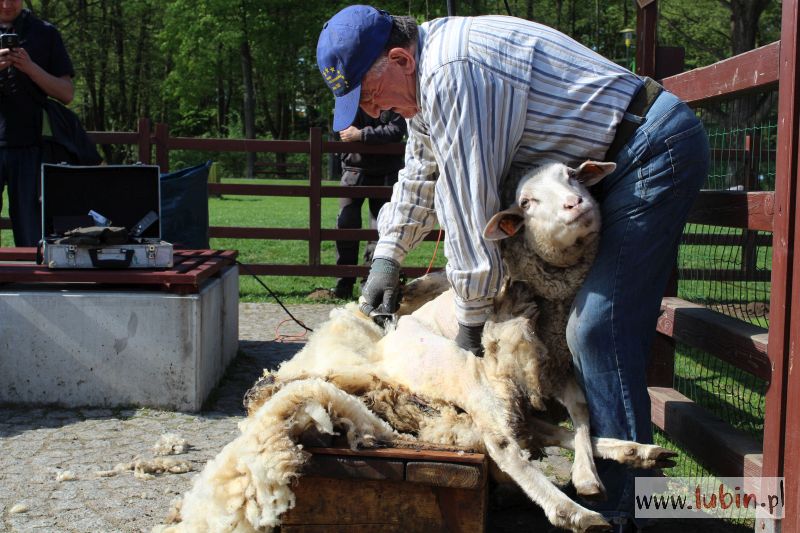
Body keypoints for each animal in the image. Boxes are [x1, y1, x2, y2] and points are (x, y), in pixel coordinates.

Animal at [155, 161, 676, 532]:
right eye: (526, 201)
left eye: (573, 176)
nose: (575, 205)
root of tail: (391, 345)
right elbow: (564, 421)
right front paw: (586, 488)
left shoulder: (558, 367)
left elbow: (583, 412)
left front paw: (591, 471)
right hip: (464, 374)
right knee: (505, 443)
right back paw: (573, 513)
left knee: (534, 432)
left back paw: (637, 452)